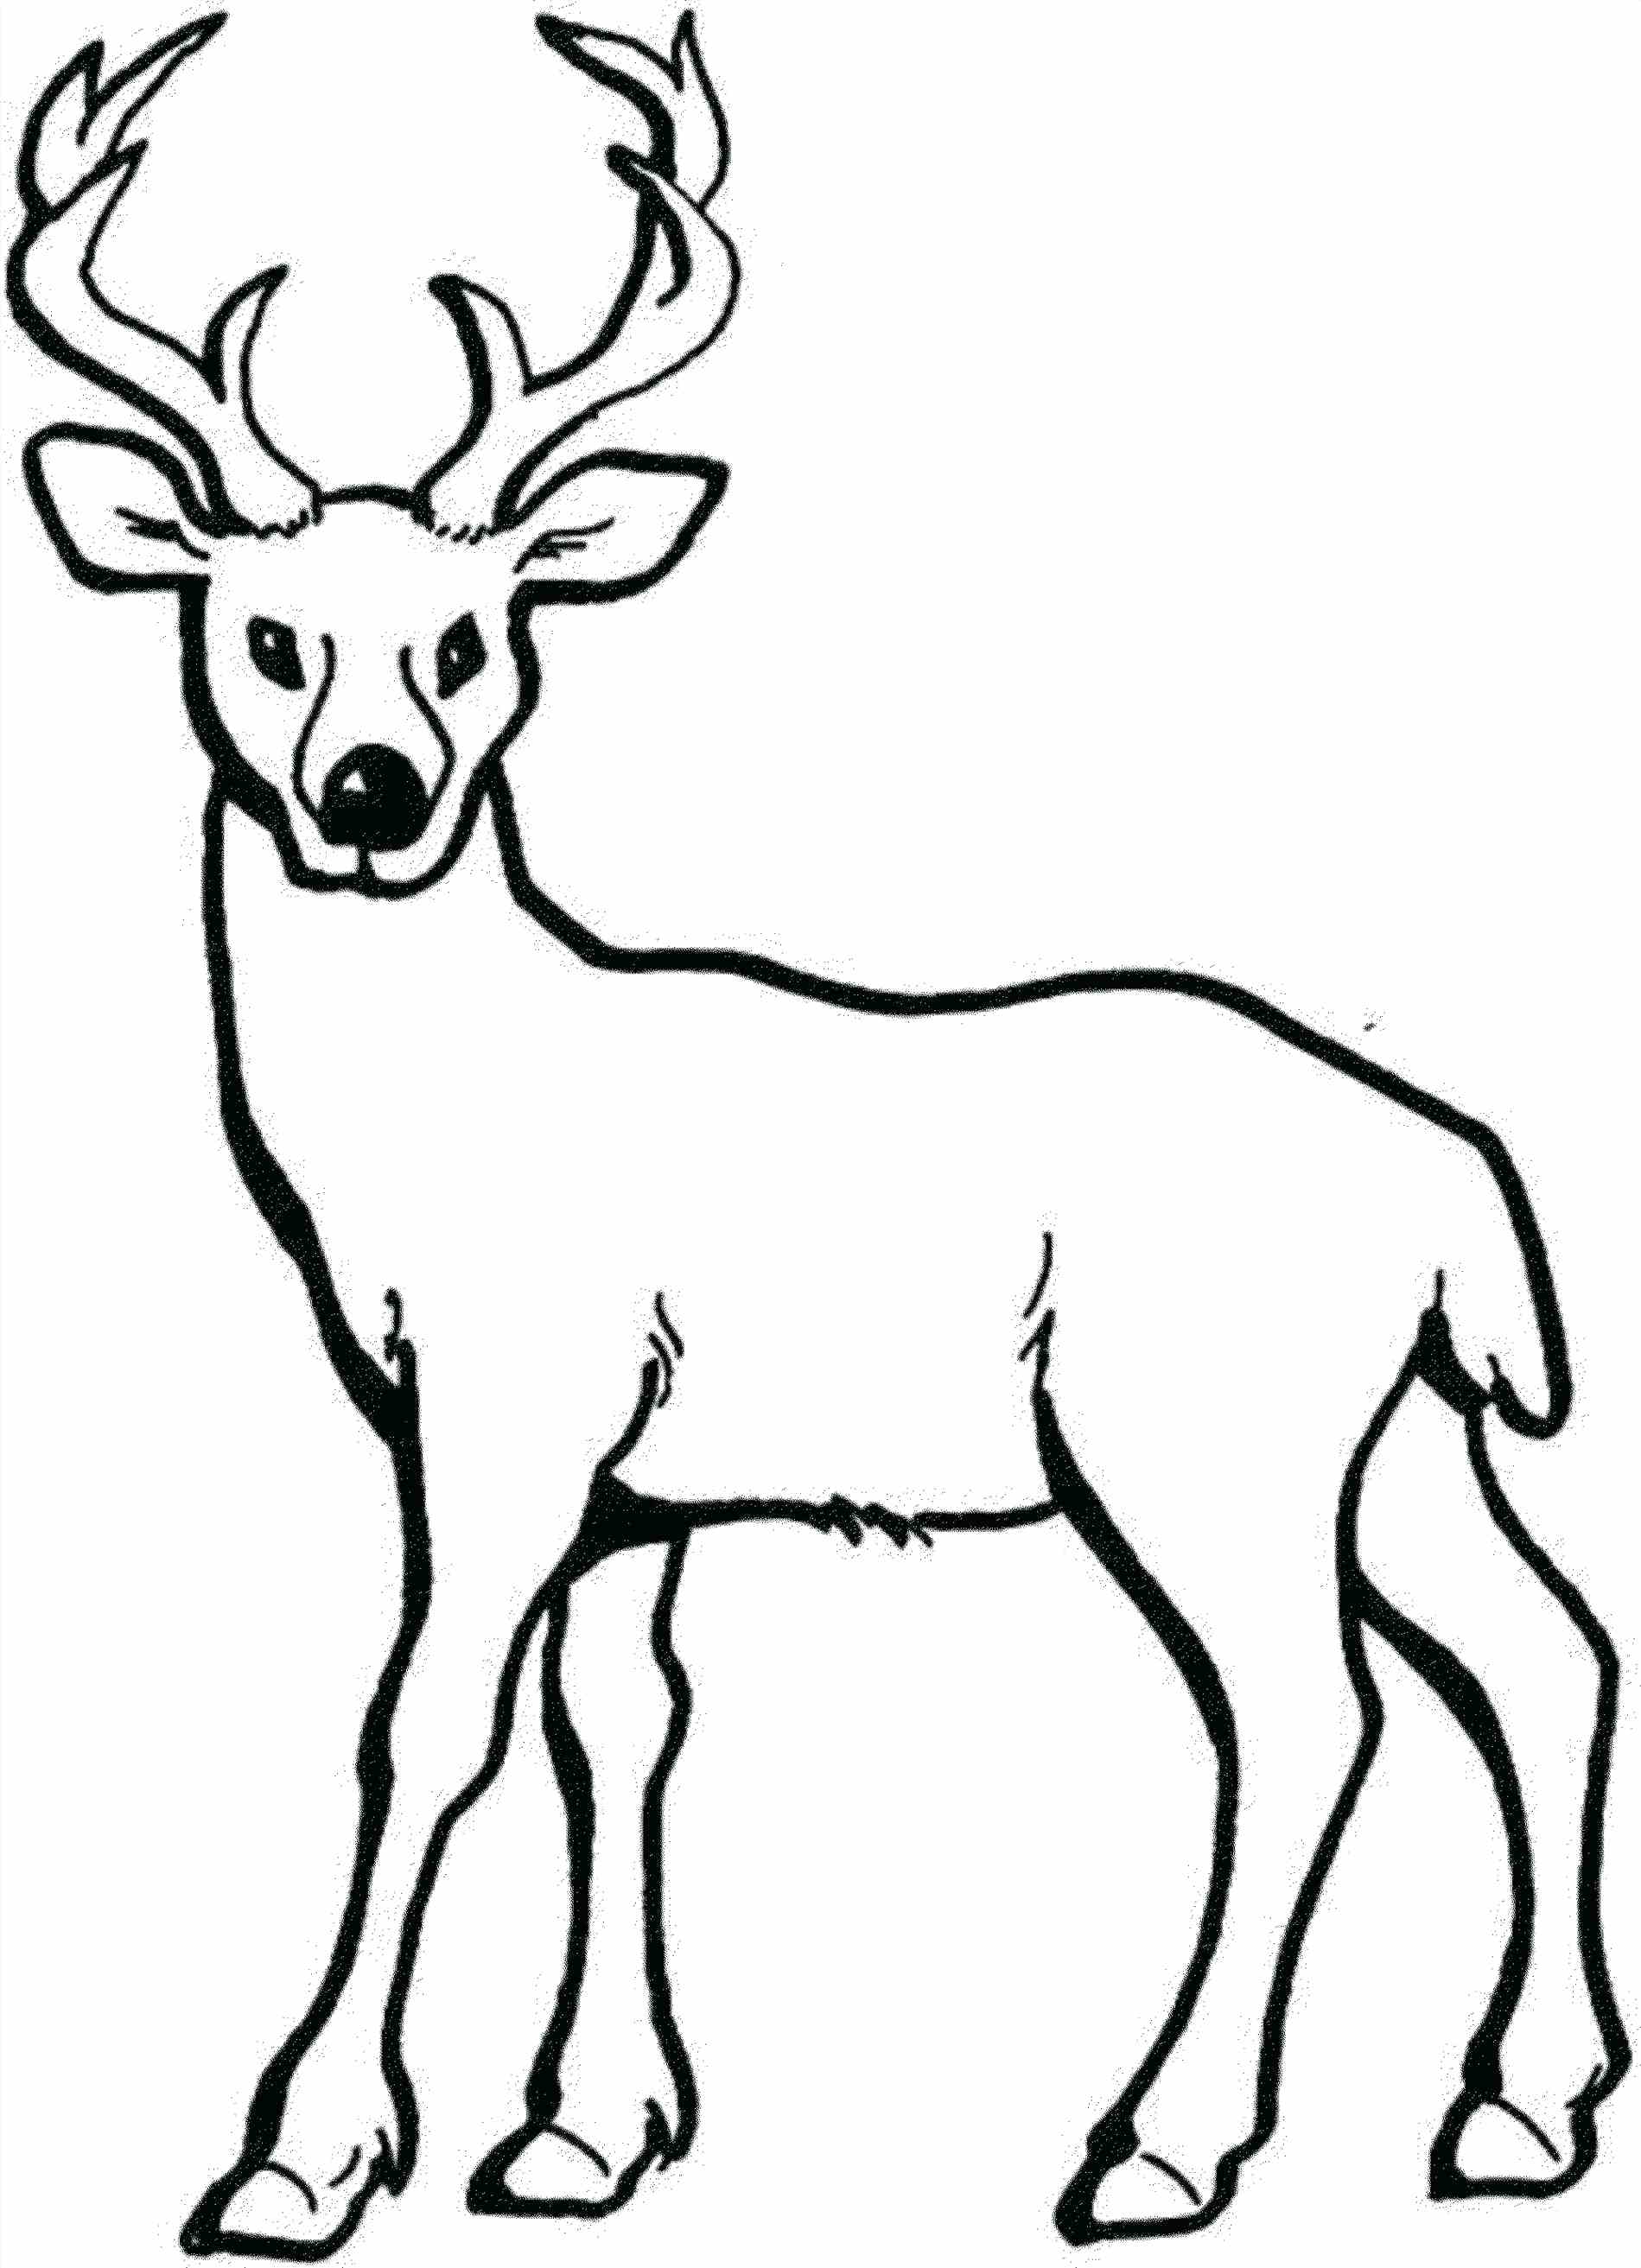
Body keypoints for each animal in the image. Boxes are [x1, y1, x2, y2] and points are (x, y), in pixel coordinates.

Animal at [10, 10, 1628, 2260]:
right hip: (1390, 1426)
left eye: (470, 637)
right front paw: (585, 2131)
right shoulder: (636, 1472)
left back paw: (1157, 2143)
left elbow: (427, 1719)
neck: (441, 1107)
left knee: (1310, 1706)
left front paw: (298, 2152)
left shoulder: (511, 1386)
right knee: (1540, 1650)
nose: (369, 792)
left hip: (1194, 1417)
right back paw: (1514, 2109)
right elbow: (619, 1724)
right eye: (261, 633)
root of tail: (1455, 1186)